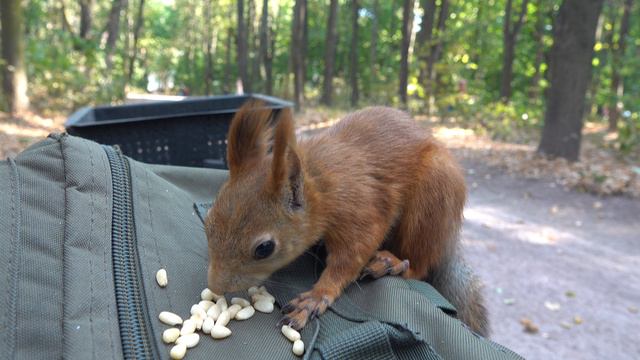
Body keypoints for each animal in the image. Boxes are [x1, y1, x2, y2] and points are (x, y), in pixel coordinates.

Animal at [205, 100, 490, 336]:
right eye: (207, 223)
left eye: (264, 248)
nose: (215, 287)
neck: (320, 186)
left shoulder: (360, 212)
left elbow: (350, 258)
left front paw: (316, 298)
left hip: (433, 199)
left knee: (419, 266)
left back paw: (392, 262)